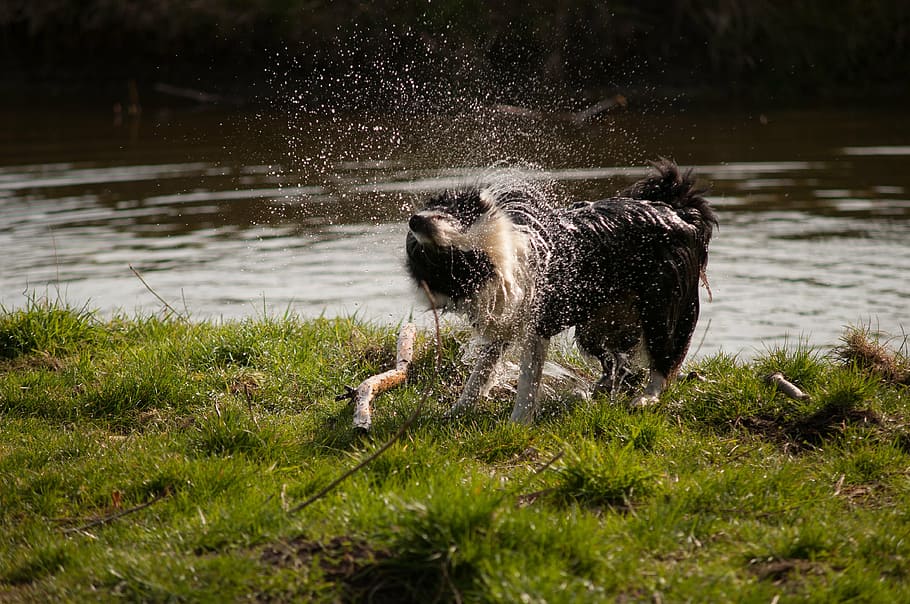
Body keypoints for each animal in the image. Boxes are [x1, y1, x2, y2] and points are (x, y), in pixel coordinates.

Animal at [408, 160, 720, 424]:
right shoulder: (504, 321)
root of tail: (678, 210)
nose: (414, 220)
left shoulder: (536, 324)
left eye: (445, 217)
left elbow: (527, 379)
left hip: (661, 301)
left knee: (665, 355)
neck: (498, 258)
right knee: (617, 360)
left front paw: (518, 423)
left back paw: (646, 398)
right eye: (430, 258)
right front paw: (457, 410)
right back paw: (602, 388)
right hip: (596, 324)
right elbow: (481, 370)